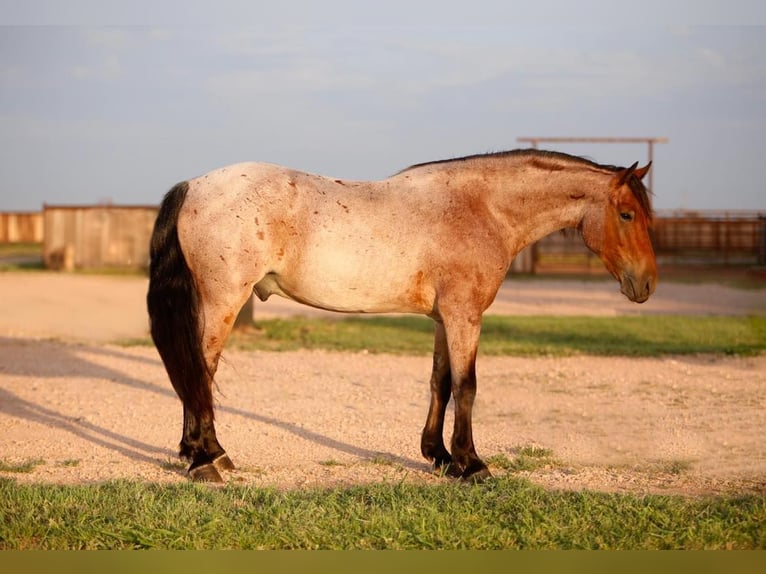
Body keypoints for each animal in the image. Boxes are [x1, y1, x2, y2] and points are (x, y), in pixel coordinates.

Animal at [148, 151, 660, 484]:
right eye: (627, 214)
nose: (647, 285)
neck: (481, 208)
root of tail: (194, 185)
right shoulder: (464, 316)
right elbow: (468, 386)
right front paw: (472, 465)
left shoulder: (443, 319)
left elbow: (441, 383)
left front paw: (439, 456)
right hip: (222, 302)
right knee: (200, 371)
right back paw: (206, 460)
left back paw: (204, 455)